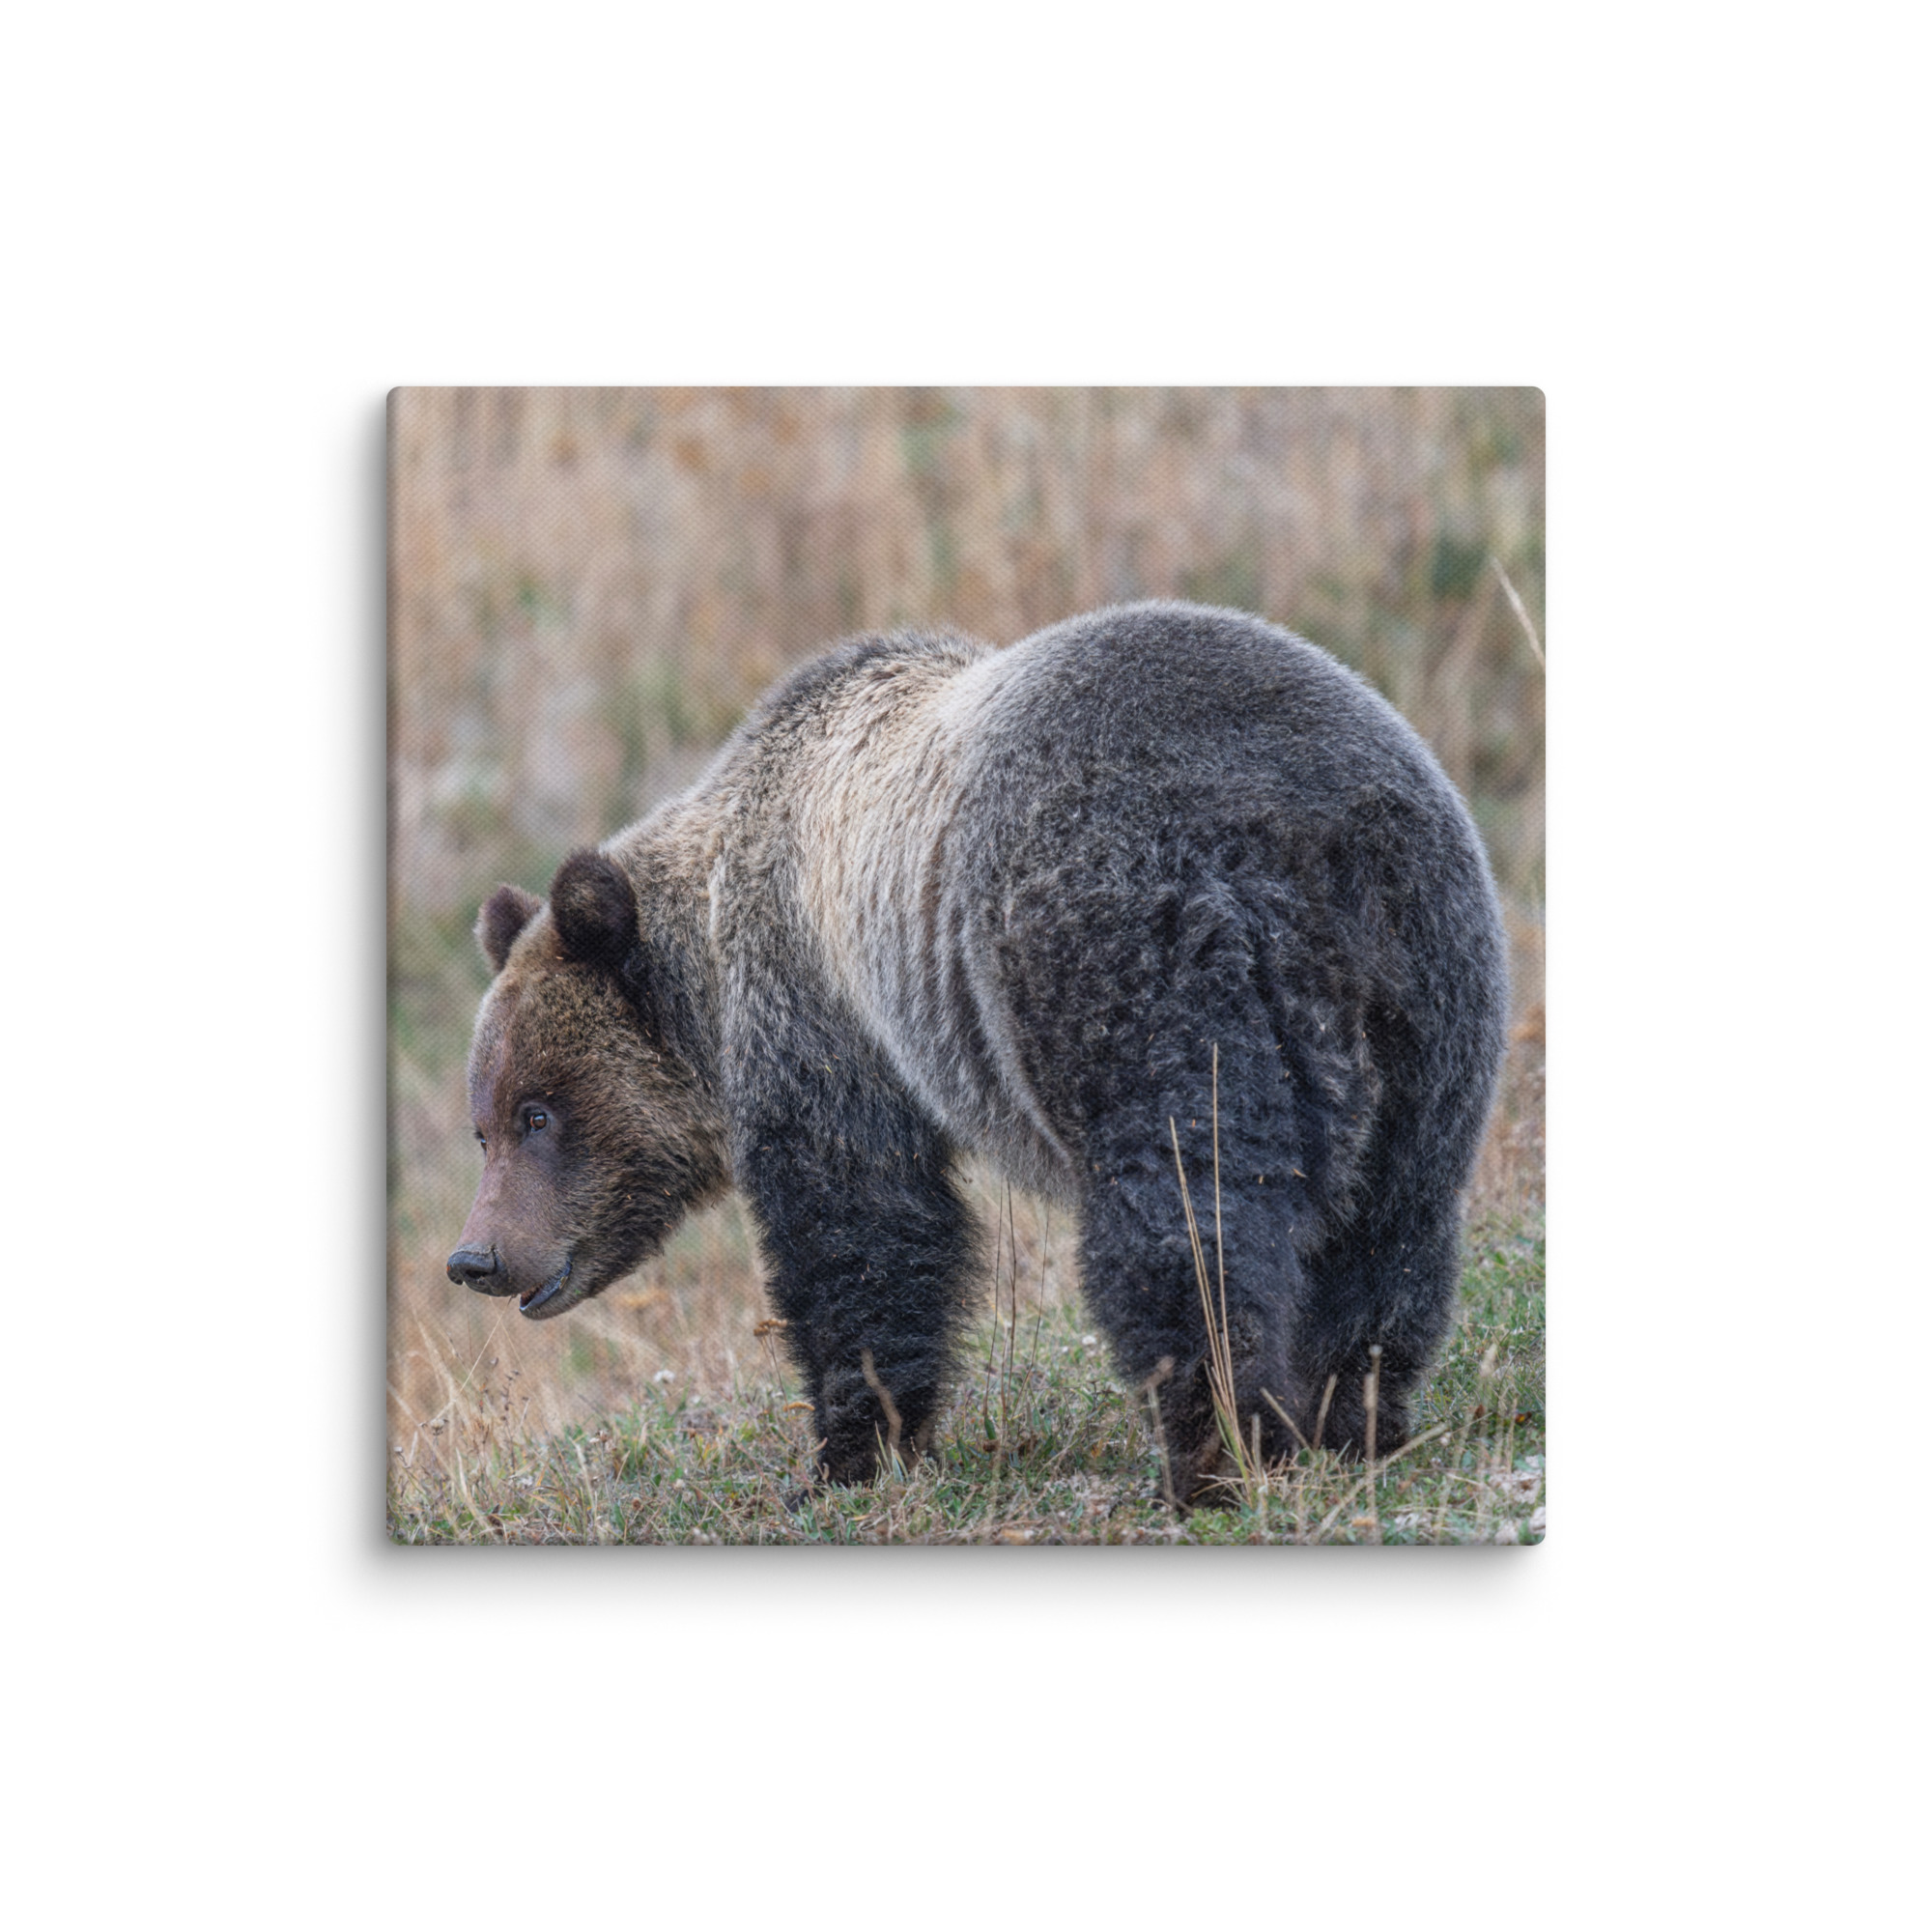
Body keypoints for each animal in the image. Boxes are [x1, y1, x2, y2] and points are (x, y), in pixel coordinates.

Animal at [446, 601, 1509, 1502]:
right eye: (484, 1123)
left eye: (538, 1111)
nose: (476, 1256)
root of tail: (1303, 832)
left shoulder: (822, 1009)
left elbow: (860, 1223)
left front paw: (846, 1452)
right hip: (1429, 990)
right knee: (1391, 1224)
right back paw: (1351, 1421)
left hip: (1131, 956)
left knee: (1186, 1215)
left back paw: (1214, 1452)